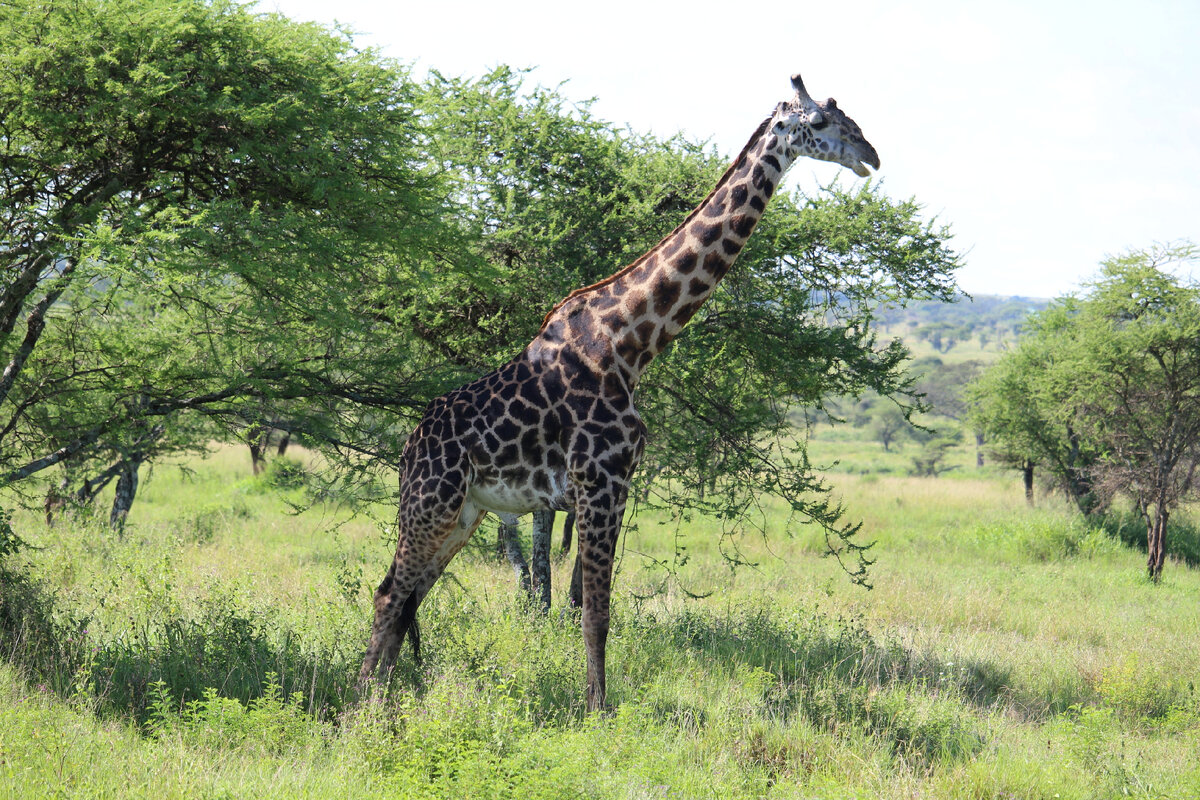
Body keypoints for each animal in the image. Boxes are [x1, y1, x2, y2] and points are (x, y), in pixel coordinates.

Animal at [360, 71, 878, 710]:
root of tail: (408, 448)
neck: (630, 344)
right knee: (390, 594)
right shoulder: (598, 481)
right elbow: (594, 614)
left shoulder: (617, 485)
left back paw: (384, 701)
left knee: (405, 595)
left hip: (464, 513)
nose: (871, 155)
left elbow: (586, 606)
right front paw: (598, 713)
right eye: (823, 122)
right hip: (430, 501)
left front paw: (596, 705)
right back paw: (363, 706)